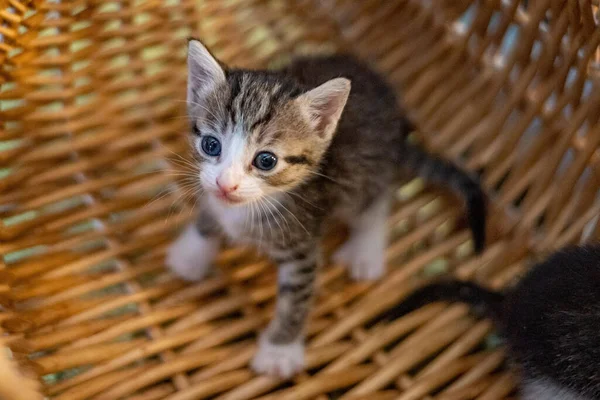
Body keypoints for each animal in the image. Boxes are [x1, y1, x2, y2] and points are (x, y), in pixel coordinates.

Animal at [165, 39, 488, 380]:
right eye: (211, 145)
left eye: (266, 160)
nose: (226, 185)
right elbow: (209, 214)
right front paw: (191, 254)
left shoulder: (303, 246)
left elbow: (296, 298)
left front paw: (280, 350)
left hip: (365, 174)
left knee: (377, 199)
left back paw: (366, 251)